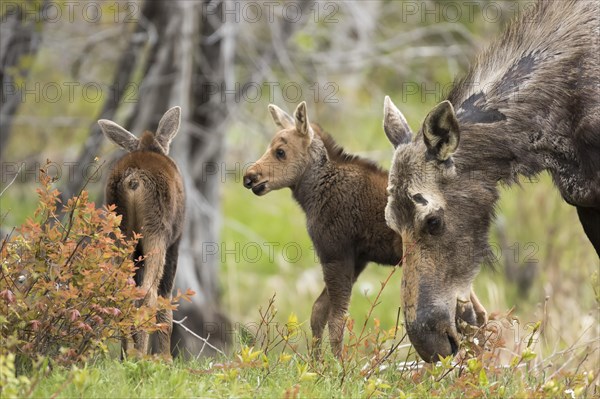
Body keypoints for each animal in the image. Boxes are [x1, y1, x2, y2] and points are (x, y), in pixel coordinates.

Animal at [98, 107, 185, 360]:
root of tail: (133, 180)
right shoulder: (175, 242)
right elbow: (166, 297)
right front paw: (166, 358)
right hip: (156, 230)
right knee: (149, 293)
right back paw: (144, 355)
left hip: (120, 232)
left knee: (122, 289)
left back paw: (126, 354)